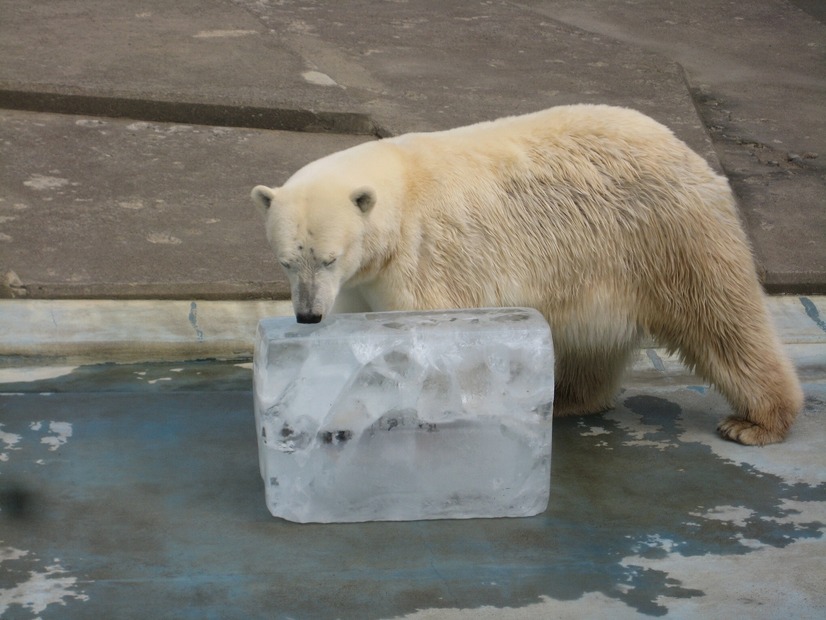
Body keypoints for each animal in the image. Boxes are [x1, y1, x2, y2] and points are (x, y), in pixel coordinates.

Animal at [251, 106, 800, 446]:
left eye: (328, 257)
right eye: (286, 260)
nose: (306, 315)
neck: (400, 196)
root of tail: (686, 150)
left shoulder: (426, 259)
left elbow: (428, 348)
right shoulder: (360, 284)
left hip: (667, 235)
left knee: (722, 319)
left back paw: (756, 422)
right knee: (589, 340)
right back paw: (569, 399)